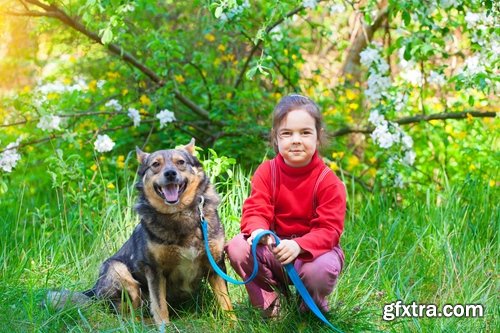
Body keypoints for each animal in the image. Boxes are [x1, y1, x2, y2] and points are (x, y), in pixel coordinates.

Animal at [46, 138, 233, 326]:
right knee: (127, 315)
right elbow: (160, 306)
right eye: (156, 164)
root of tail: (92, 291)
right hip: (120, 273)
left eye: (180, 162)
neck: (179, 214)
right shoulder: (155, 270)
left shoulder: (216, 264)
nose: (170, 174)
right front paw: (164, 327)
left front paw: (233, 323)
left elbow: (226, 302)